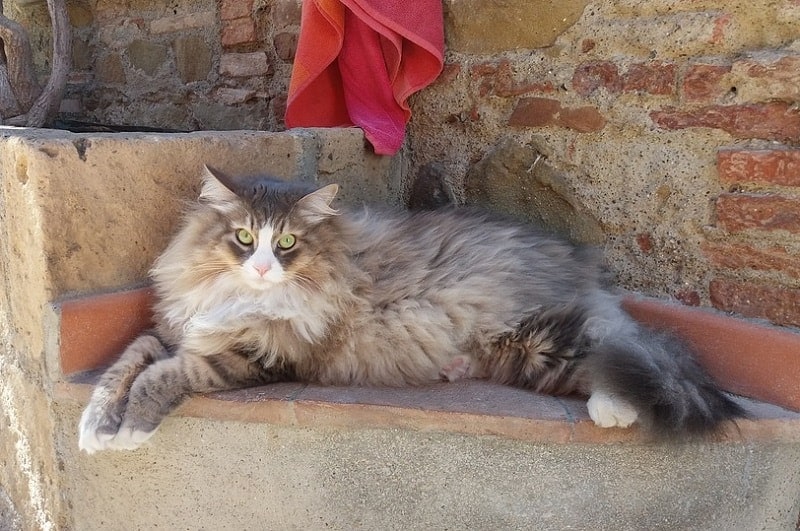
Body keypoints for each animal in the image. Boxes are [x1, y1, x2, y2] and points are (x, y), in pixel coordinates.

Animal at [78, 166, 748, 454]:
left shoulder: (254, 358)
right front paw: (95, 423)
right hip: (523, 352)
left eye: (287, 243)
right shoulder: (176, 329)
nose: (265, 267)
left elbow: (165, 376)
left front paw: (129, 429)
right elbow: (125, 364)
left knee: (620, 349)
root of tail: (575, 260)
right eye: (244, 238)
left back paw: (616, 409)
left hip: (543, 335)